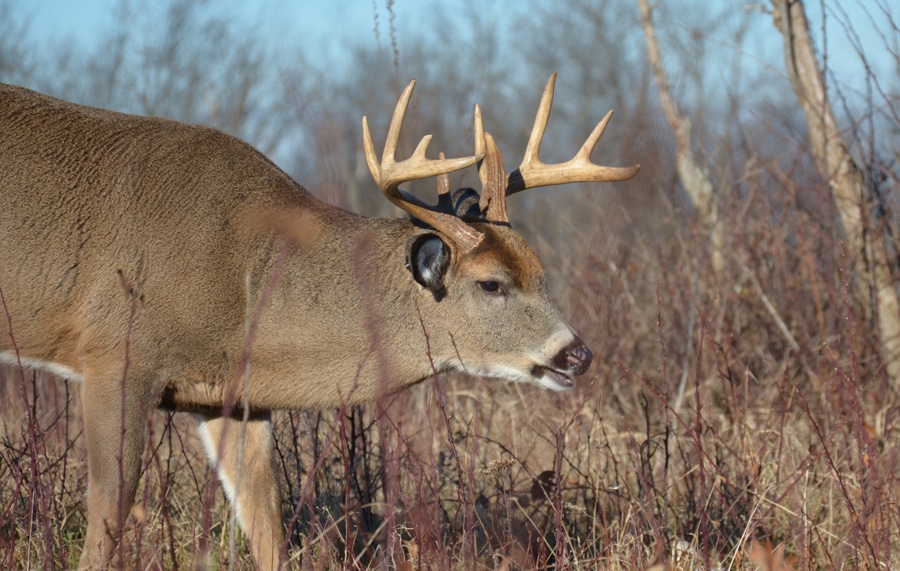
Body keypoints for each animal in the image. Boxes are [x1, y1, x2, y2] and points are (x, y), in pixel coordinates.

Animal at [0, 73, 639, 569]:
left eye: (544, 275)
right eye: (491, 284)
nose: (578, 353)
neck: (248, 279)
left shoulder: (231, 397)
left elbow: (266, 525)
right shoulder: (115, 354)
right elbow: (108, 511)